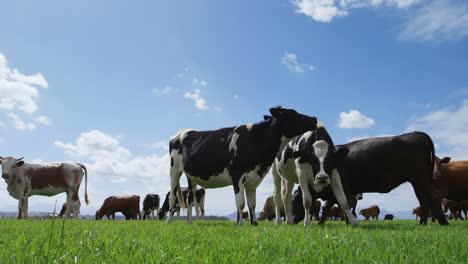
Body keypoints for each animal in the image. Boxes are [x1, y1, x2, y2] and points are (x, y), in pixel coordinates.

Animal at [167, 106, 318, 226]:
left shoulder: (253, 180)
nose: (314, 118)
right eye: (293, 113)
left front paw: (254, 223)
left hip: (191, 177)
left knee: (189, 199)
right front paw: (240, 224)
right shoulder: (237, 175)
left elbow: (252, 203)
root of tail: (182, 131)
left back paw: (189, 222)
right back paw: (169, 221)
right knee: (172, 197)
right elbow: (240, 202)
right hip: (174, 170)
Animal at [320, 131, 448, 225]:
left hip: (421, 178)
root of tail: (416, 134)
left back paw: (443, 222)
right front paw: (321, 223)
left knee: (434, 194)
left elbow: (345, 204)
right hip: (416, 181)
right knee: (423, 200)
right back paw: (422, 223)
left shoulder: (344, 188)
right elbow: (327, 207)